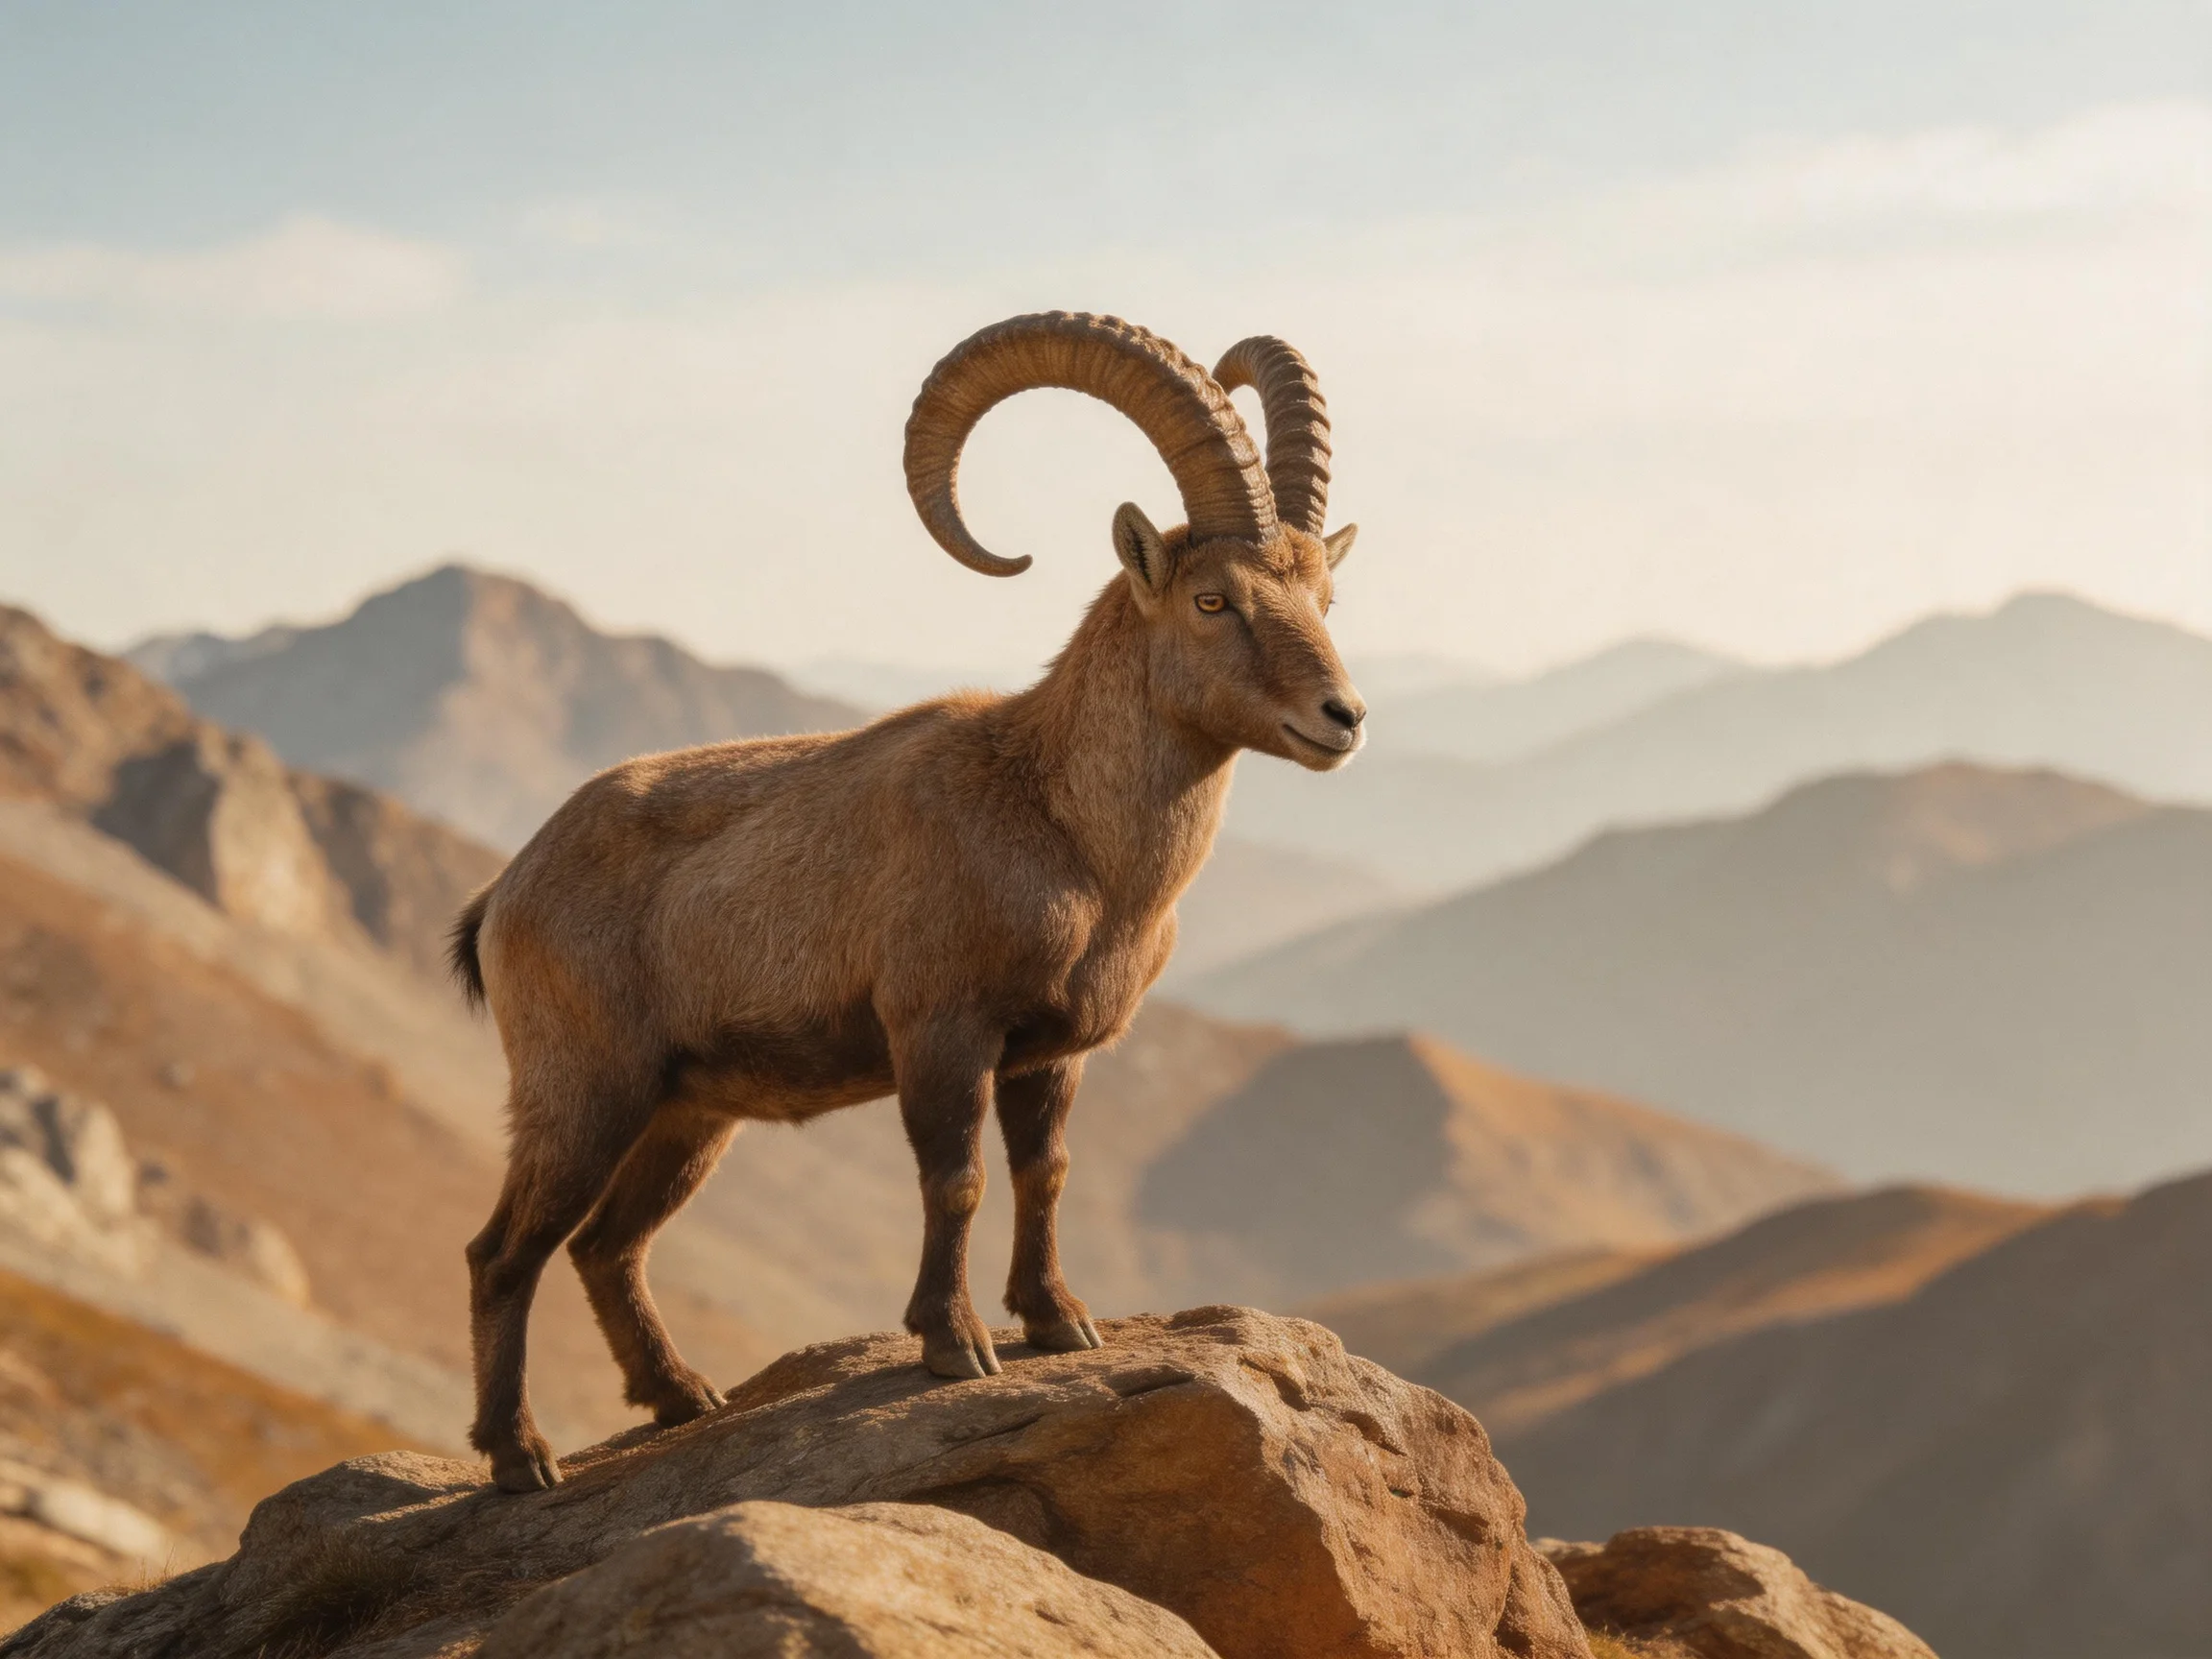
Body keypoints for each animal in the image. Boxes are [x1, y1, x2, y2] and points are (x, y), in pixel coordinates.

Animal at [451, 312, 1367, 1491]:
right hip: (584, 1090)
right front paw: (955, 1343)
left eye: (1326, 599)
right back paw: (520, 1456)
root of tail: (506, 892)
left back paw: (681, 1397)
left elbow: (1045, 1171)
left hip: (688, 1111)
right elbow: (957, 1178)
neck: (1061, 825)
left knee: (608, 1244)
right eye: (1215, 601)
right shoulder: (940, 1028)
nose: (1342, 717)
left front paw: (1059, 1320)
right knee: (504, 1252)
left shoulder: (1051, 1052)